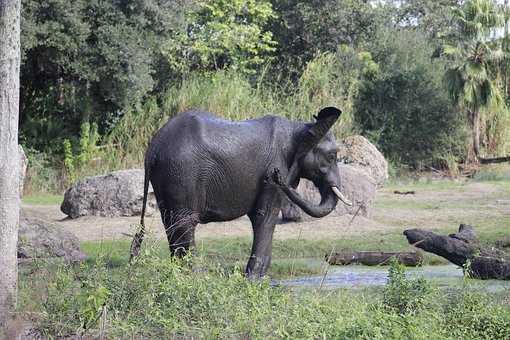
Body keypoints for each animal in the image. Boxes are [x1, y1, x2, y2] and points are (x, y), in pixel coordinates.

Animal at [128, 107, 350, 278]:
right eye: (332, 156)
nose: (277, 176)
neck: (302, 127)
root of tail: (153, 148)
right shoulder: (275, 168)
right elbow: (265, 217)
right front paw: (254, 280)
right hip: (181, 172)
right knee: (184, 224)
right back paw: (195, 278)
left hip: (168, 176)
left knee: (172, 224)